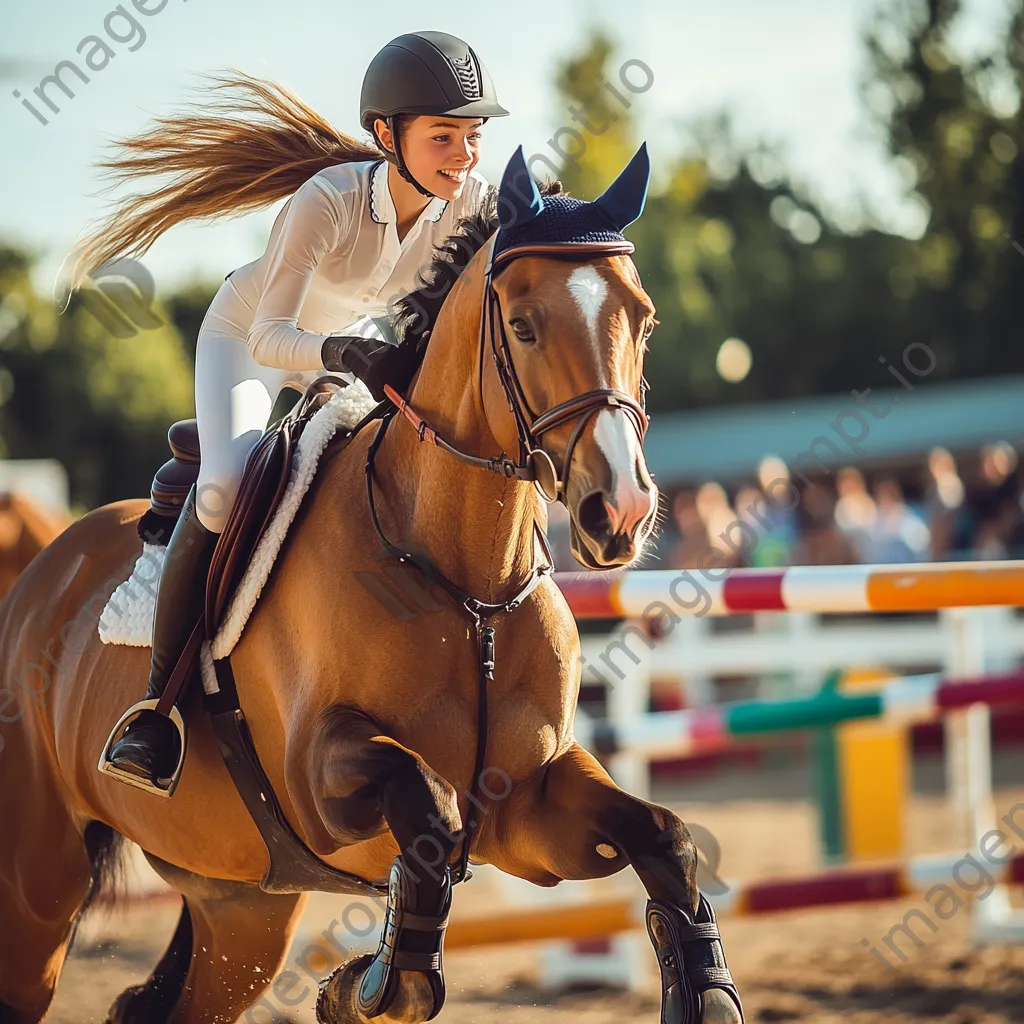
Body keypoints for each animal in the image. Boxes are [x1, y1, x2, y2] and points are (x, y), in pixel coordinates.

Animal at [0, 144, 741, 1024]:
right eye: (523, 325)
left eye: (643, 319)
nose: (619, 511)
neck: (467, 587)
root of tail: (41, 575)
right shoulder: (319, 780)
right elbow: (426, 810)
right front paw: (366, 980)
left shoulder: (531, 809)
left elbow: (665, 837)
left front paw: (704, 987)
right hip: (38, 889)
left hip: (241, 911)